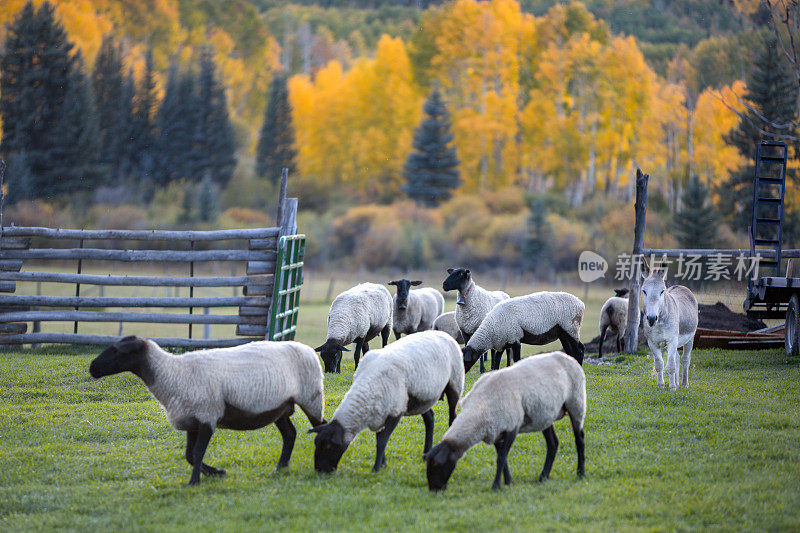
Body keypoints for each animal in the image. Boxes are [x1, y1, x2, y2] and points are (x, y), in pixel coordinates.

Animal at [88, 336, 324, 486]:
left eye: (117, 351)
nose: (92, 368)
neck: (171, 373)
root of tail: (307, 348)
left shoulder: (207, 417)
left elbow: (197, 453)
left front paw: (194, 482)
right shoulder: (191, 420)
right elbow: (189, 455)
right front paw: (216, 473)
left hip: (312, 398)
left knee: (320, 428)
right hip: (280, 407)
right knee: (290, 434)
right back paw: (280, 467)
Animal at [310, 330, 466, 472]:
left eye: (328, 446)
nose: (320, 471)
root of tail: (442, 333)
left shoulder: (395, 411)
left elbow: (382, 440)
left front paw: (376, 468)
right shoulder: (380, 411)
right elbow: (379, 438)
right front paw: (383, 464)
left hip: (455, 382)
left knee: (452, 417)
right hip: (422, 397)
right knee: (430, 419)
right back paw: (425, 454)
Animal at [424, 350, 588, 490]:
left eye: (437, 465)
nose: (434, 490)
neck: (479, 409)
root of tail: (567, 356)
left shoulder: (511, 426)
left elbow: (501, 457)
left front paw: (496, 486)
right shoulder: (496, 429)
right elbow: (502, 458)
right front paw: (508, 482)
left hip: (576, 402)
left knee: (579, 438)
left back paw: (580, 473)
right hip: (545, 414)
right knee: (553, 443)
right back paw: (543, 476)